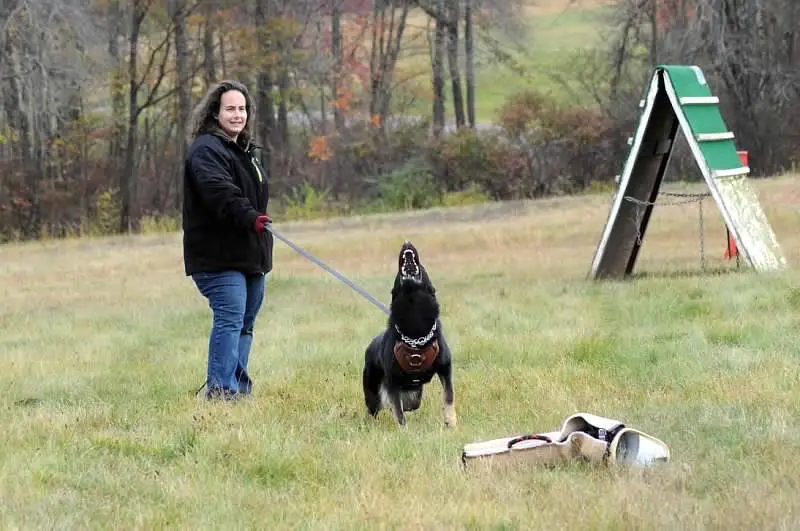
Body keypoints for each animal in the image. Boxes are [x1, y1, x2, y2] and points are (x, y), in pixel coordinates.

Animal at [361, 241, 457, 427]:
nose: (407, 243)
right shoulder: (392, 381)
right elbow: (398, 412)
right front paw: (403, 429)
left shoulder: (445, 368)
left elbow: (449, 396)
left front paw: (451, 422)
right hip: (373, 392)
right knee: (375, 409)